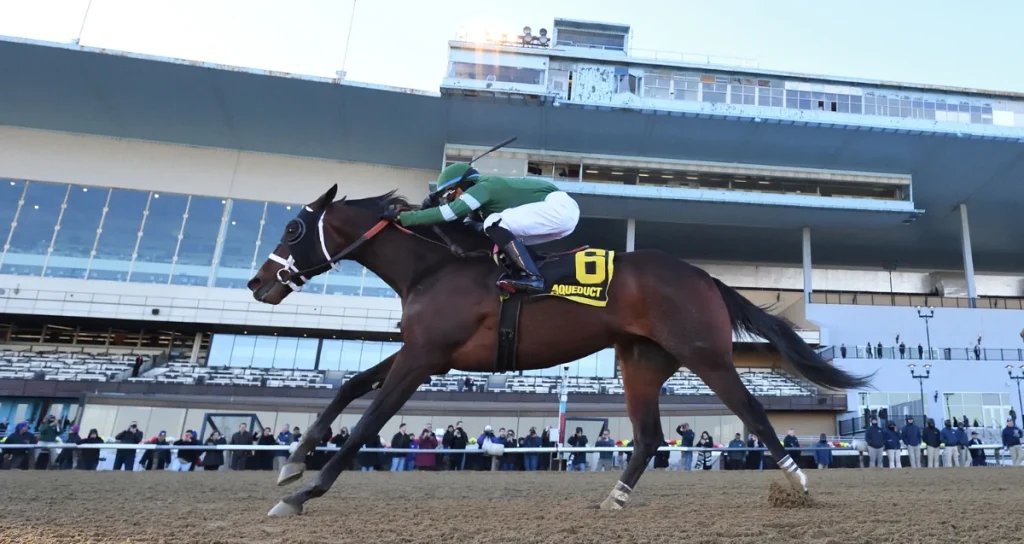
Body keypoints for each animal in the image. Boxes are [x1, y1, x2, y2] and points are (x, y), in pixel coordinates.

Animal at [247, 184, 870, 516]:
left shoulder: (424, 357)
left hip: (706, 355)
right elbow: (351, 385)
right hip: (641, 361)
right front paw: (293, 463)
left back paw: (798, 484)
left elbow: (367, 422)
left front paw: (304, 493)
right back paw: (614, 498)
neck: (435, 266)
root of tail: (703, 276)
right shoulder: (423, 350)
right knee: (648, 437)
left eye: (294, 230)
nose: (258, 283)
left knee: (755, 412)